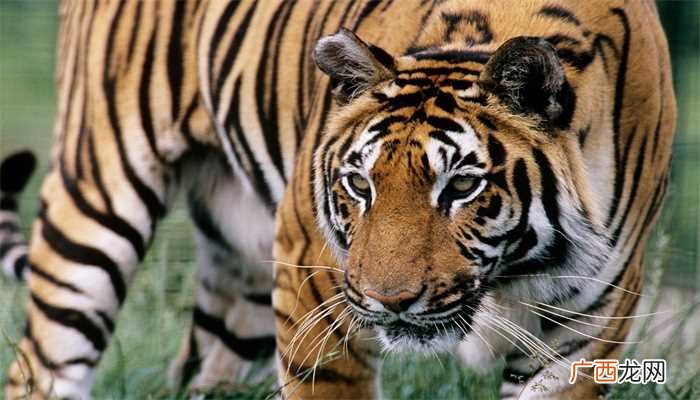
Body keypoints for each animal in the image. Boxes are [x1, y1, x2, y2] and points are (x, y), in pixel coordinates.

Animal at [1, 0, 675, 399]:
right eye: (360, 184)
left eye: (461, 186)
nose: (389, 301)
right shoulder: (314, 280)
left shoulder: (585, 331)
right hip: (98, 190)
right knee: (41, 360)